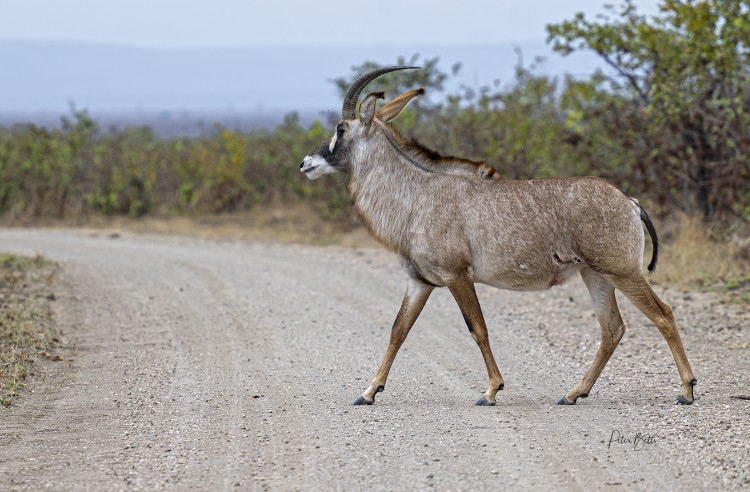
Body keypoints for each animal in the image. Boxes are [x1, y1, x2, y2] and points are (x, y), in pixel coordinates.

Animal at [300, 65, 700, 408]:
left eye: (340, 129)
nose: (306, 163)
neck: (419, 194)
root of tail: (629, 202)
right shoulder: (420, 281)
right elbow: (398, 330)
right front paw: (368, 392)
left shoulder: (457, 275)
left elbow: (477, 328)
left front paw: (491, 391)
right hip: (595, 275)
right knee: (612, 328)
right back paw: (574, 393)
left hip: (622, 271)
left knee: (663, 315)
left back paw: (686, 390)